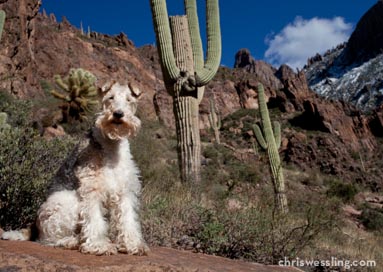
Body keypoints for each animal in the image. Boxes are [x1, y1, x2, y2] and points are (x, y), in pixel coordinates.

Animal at [1, 82, 148, 256]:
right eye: (110, 97)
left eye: (129, 99)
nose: (118, 114)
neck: (111, 146)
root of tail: (32, 227)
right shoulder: (91, 189)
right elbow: (95, 220)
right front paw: (99, 245)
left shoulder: (124, 191)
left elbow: (127, 220)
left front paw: (133, 245)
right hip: (67, 202)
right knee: (50, 240)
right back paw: (73, 242)